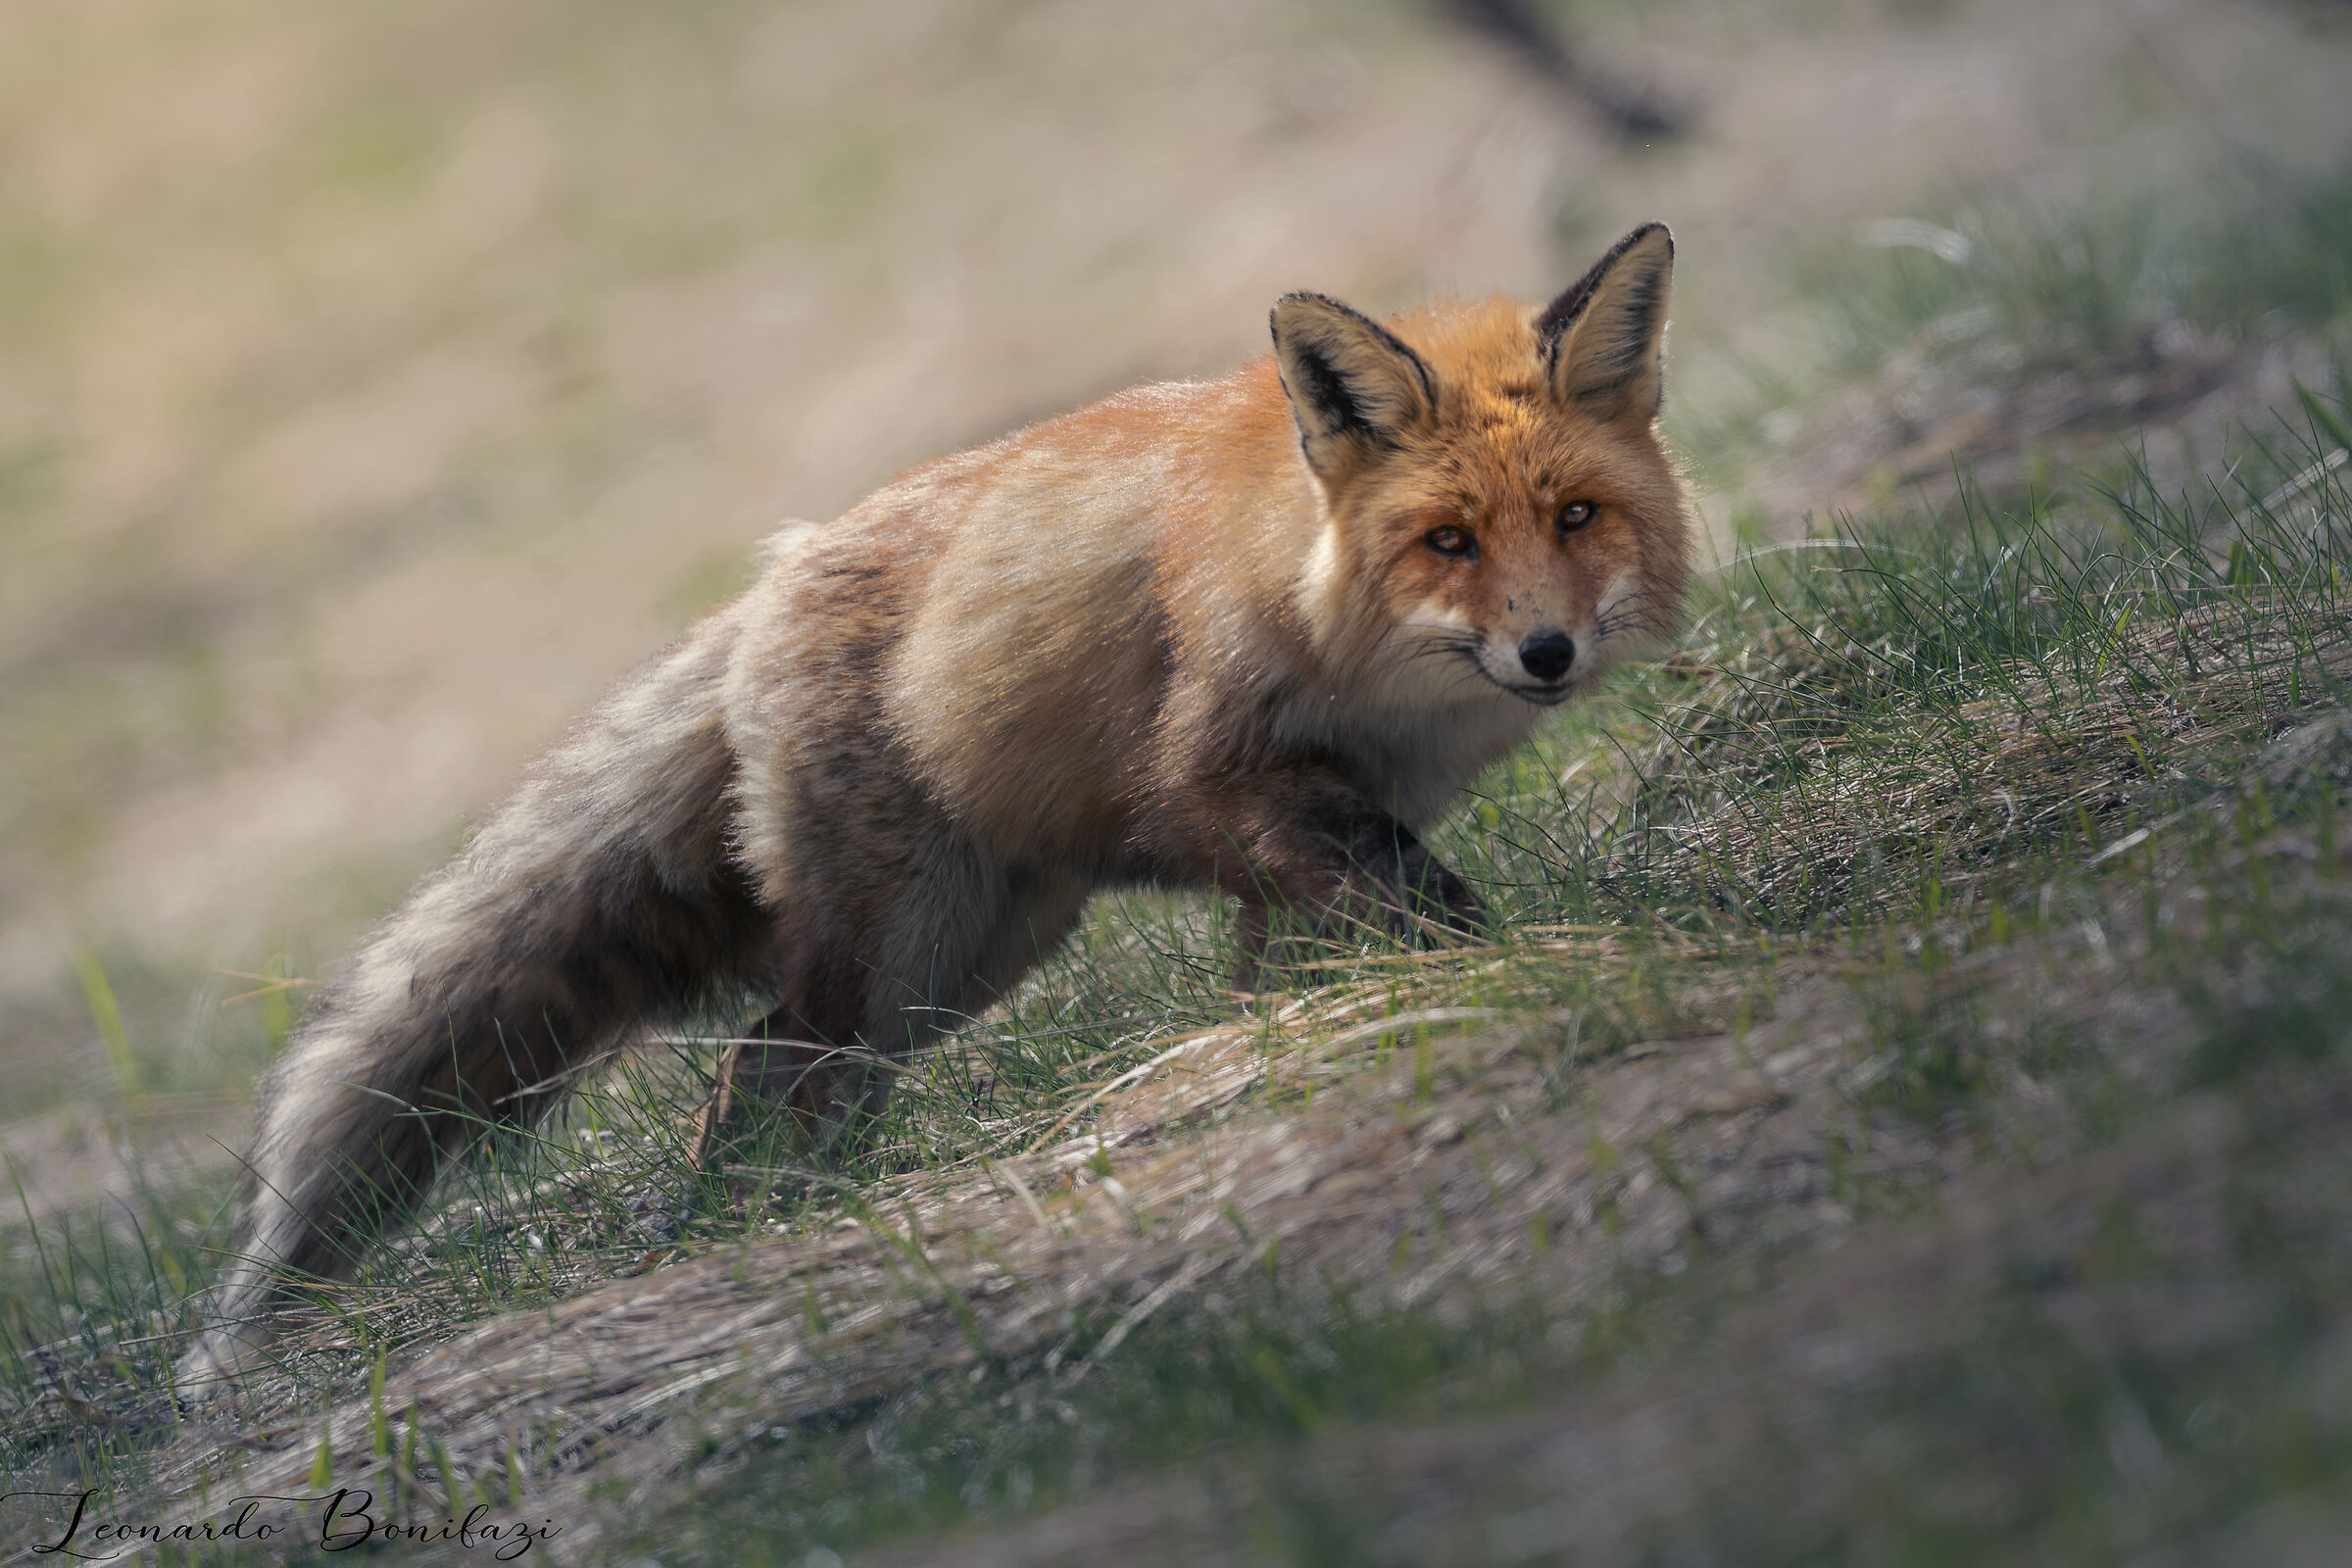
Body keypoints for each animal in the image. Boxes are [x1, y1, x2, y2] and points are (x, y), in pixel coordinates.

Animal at [179, 223, 1692, 1389]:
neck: (1333, 626)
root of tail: (766, 583)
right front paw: (1521, 978)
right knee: (766, 1070)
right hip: (903, 945)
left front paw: (1314, 1049)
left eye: (1574, 517)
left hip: (970, 952)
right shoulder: (1224, 783)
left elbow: (1314, 958)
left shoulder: (1319, 834)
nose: (1546, 654)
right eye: (1448, 541)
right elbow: (1425, 904)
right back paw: (777, 1231)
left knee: (767, 1073)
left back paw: (781, 1219)